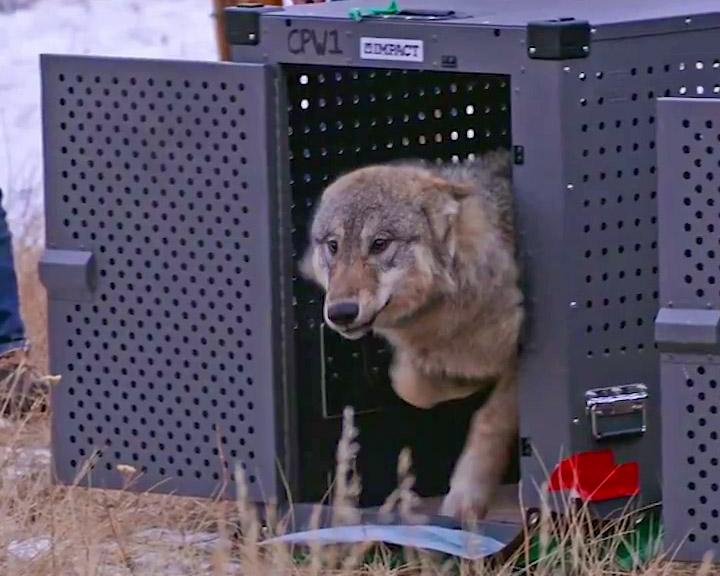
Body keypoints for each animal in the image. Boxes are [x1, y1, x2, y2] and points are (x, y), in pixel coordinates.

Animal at [300, 150, 524, 521]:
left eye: (379, 244)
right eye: (333, 246)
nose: (341, 312)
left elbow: (489, 420)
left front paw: (466, 495)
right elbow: (411, 385)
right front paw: (461, 379)